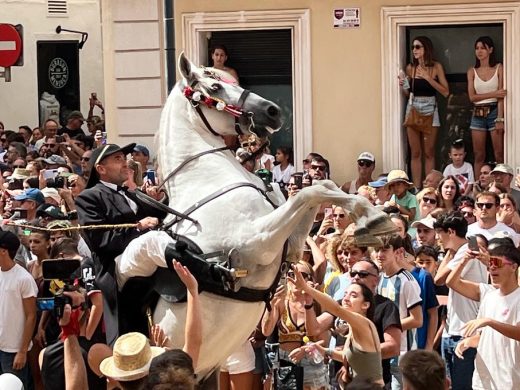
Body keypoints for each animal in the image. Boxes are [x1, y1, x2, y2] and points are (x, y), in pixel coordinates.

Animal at [118, 53, 394, 386]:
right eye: (215, 87)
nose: (272, 111)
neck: (205, 177)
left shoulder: (289, 241)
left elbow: (321, 188)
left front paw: (371, 216)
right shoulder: (257, 242)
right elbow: (310, 192)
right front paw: (373, 219)